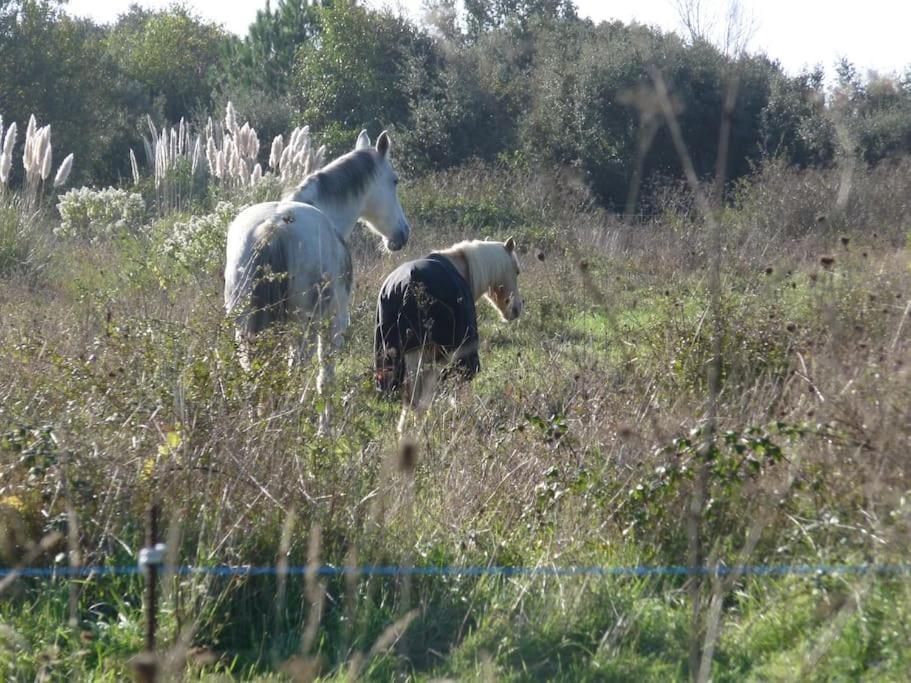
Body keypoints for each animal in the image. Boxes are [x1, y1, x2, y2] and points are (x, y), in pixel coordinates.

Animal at [226, 130, 412, 412]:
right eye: (395, 181)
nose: (402, 234)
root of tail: (272, 228)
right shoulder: (334, 323)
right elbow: (326, 376)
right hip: (302, 325)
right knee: (295, 367)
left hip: (245, 326)